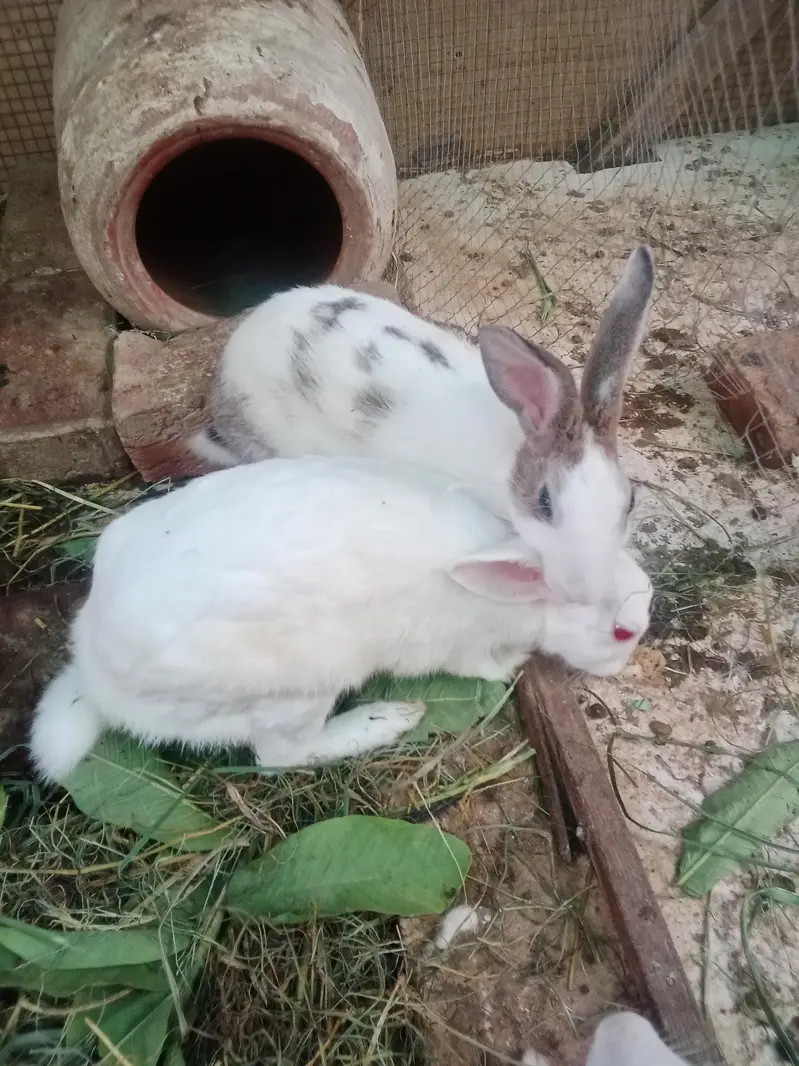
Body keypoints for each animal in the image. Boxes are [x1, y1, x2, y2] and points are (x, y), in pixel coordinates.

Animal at [29, 455, 652, 783]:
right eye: (621, 631)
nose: (624, 661)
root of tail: (97, 676)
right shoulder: (459, 644)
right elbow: (478, 664)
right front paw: (511, 666)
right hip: (297, 690)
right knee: (282, 755)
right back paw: (386, 720)